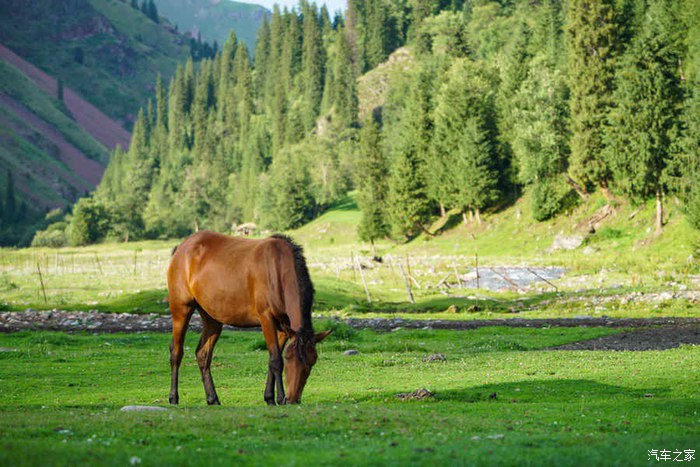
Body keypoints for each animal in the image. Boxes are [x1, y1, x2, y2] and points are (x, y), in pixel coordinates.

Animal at [167, 230, 330, 406]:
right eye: (289, 357)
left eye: (312, 361)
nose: (292, 399)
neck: (278, 270)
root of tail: (181, 248)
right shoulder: (266, 319)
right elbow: (276, 360)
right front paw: (279, 398)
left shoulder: (284, 328)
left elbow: (272, 360)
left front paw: (269, 397)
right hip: (181, 310)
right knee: (176, 352)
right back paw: (173, 397)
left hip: (212, 318)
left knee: (203, 354)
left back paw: (213, 398)